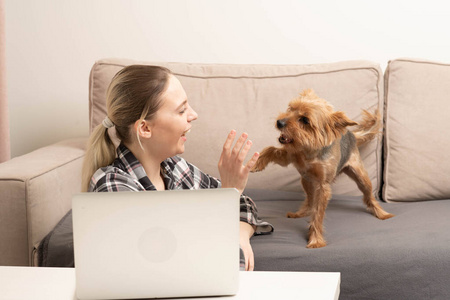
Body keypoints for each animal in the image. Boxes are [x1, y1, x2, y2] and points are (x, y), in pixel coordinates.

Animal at [253, 89, 394, 248]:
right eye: (291, 108)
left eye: (305, 120)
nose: (279, 122)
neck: (309, 150)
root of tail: (351, 133)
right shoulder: (290, 155)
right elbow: (270, 149)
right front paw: (257, 162)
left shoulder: (323, 187)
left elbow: (317, 214)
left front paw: (315, 239)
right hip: (306, 181)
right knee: (309, 199)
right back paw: (300, 213)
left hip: (360, 176)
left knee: (369, 195)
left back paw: (381, 213)